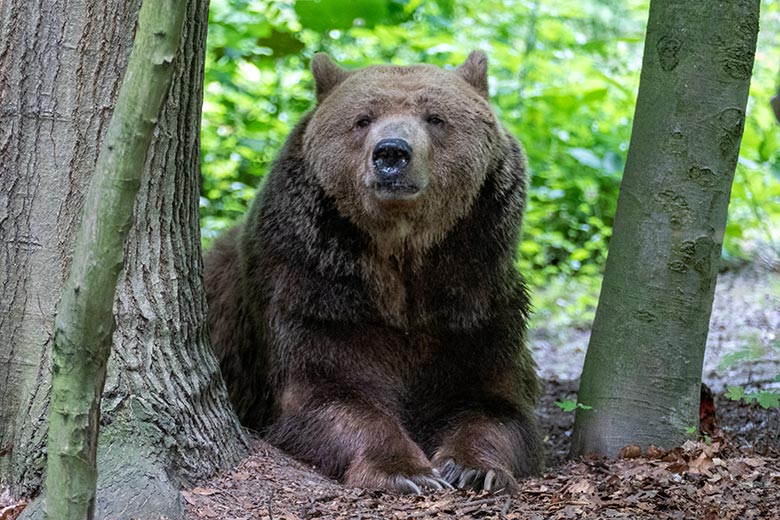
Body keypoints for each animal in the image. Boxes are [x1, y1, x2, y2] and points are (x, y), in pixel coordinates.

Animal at [204, 50, 540, 494]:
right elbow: (332, 394)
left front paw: (472, 468)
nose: (391, 153)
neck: (402, 269)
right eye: (362, 118)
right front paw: (406, 471)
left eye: (435, 117)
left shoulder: (473, 306)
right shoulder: (318, 298)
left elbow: (493, 404)